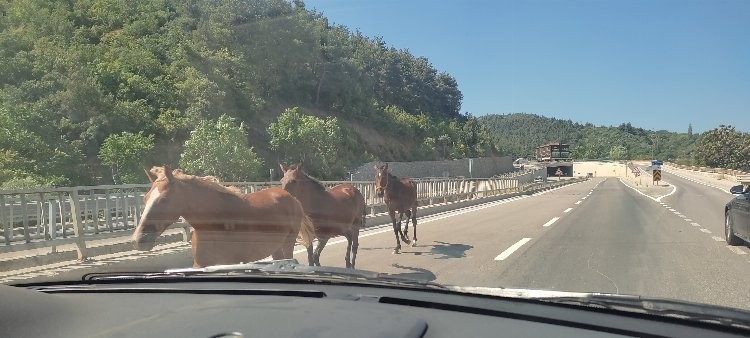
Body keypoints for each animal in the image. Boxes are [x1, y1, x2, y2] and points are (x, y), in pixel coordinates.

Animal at [132, 165, 314, 268]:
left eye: (164, 199)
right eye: (145, 198)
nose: (138, 239)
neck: (215, 224)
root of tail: (292, 198)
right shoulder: (200, 264)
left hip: (288, 242)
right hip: (275, 247)